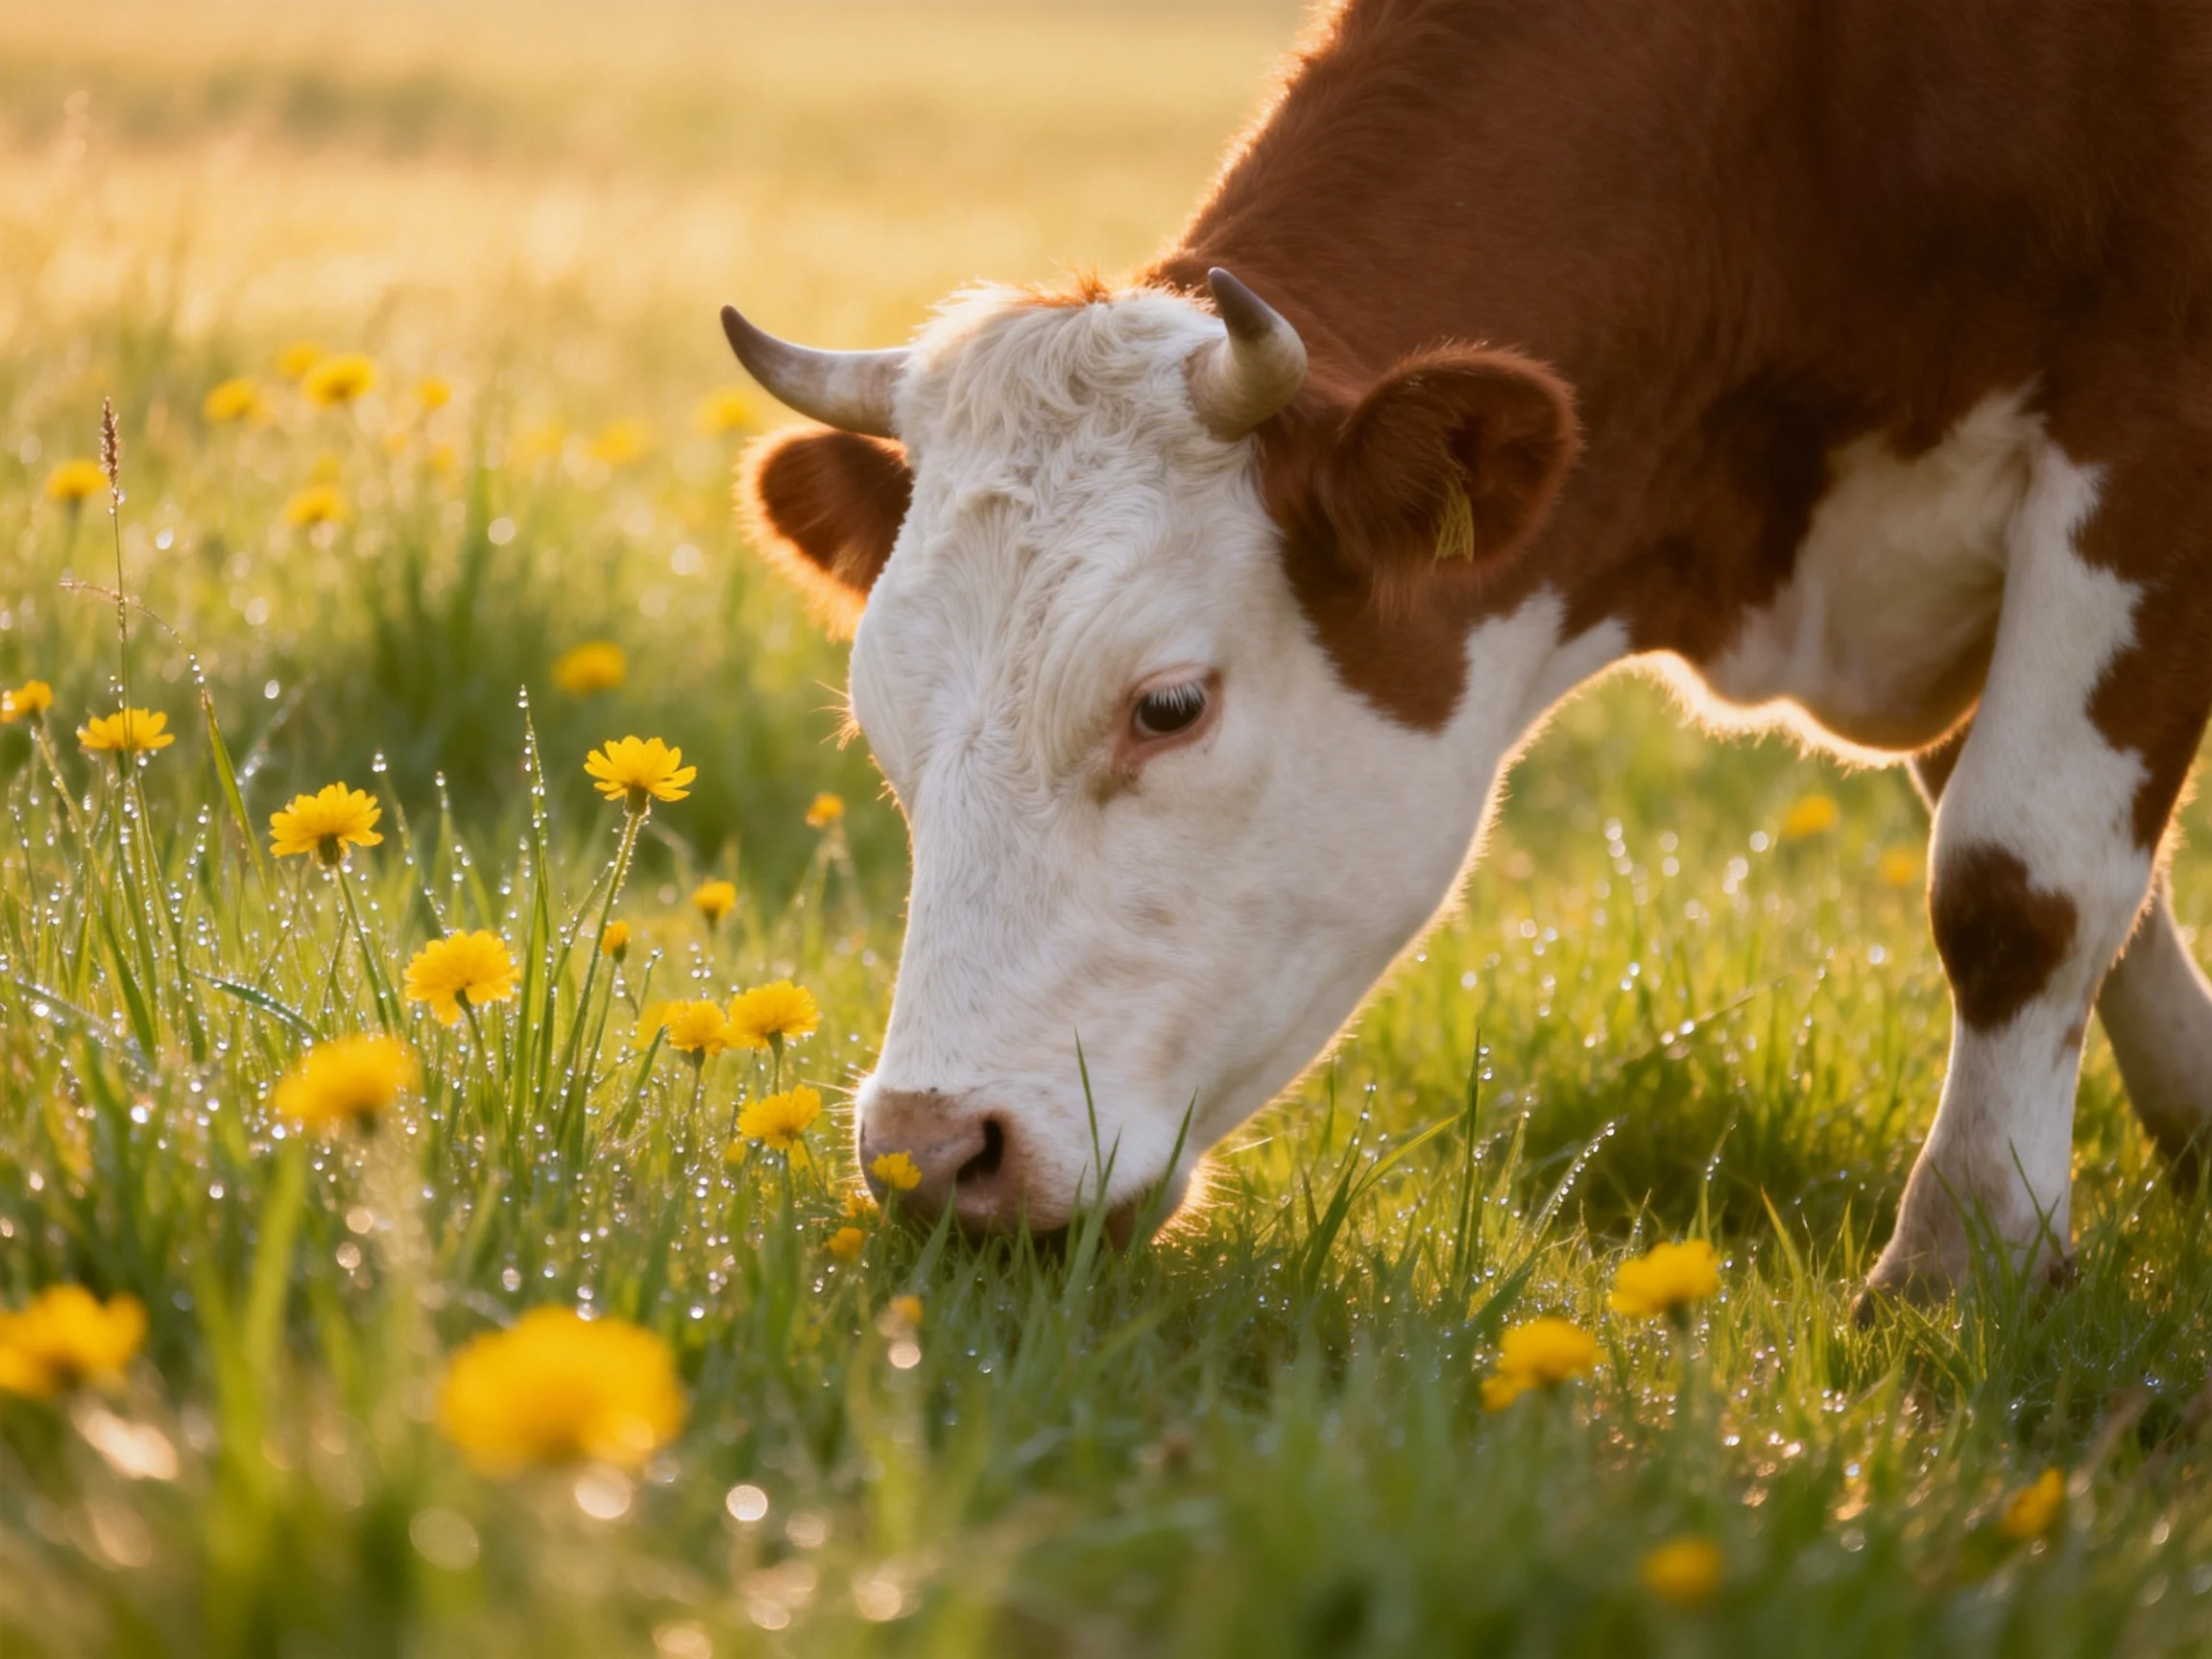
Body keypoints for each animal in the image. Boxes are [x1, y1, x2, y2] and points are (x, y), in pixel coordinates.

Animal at [718, 0, 2212, 1299]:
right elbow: (2103, 890)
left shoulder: (2145, 449)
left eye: (1170, 706)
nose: (927, 1159)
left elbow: (2022, 879)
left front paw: (1967, 1260)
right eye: (885, 726)